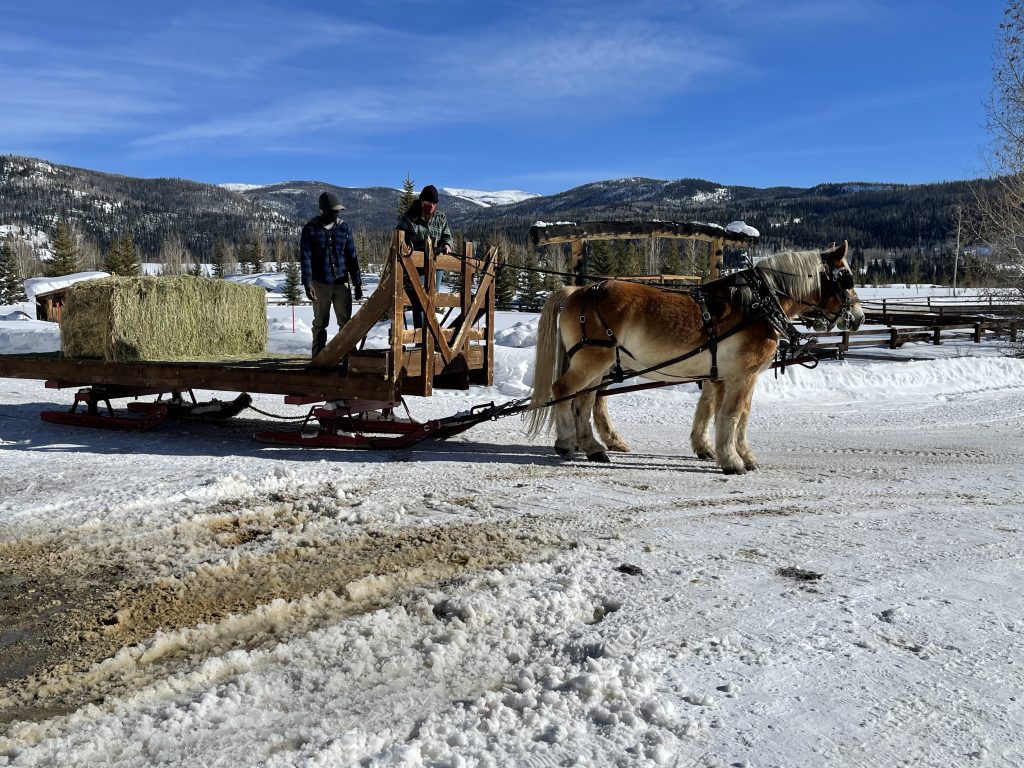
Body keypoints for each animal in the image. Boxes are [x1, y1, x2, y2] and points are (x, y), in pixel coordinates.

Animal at [528, 240, 864, 473]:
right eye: (846, 278)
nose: (859, 318)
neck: (759, 304)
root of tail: (578, 291)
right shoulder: (741, 374)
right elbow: (731, 415)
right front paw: (732, 462)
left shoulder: (727, 375)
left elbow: (723, 413)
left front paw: (729, 453)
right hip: (593, 361)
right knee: (563, 391)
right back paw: (566, 442)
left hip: (599, 365)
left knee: (585, 400)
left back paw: (594, 447)